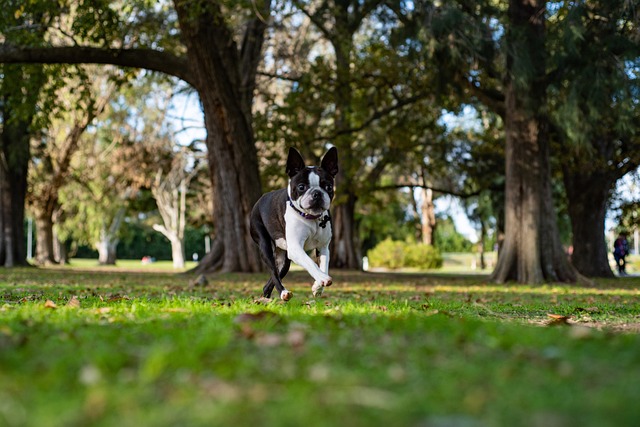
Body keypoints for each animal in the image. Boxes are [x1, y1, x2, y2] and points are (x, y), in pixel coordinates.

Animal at [250, 147, 340, 300]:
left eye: (328, 187)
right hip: (265, 245)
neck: (311, 218)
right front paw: (322, 278)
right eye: (301, 187)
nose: (317, 193)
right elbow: (311, 263)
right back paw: (283, 292)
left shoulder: (323, 247)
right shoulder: (296, 248)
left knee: (275, 275)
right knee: (274, 272)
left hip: (285, 258)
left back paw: (267, 297)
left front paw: (317, 287)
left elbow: (324, 265)